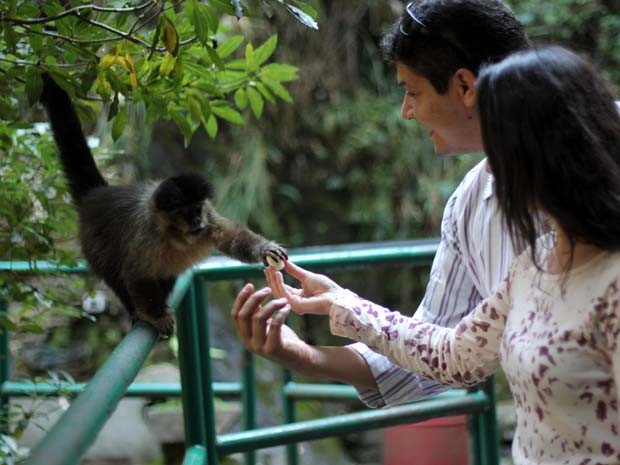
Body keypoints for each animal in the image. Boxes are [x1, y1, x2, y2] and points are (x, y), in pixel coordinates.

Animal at [40, 73, 286, 338]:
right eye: (187, 213)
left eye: (198, 209)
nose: (197, 222)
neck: (174, 234)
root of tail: (97, 195)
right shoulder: (146, 236)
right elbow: (136, 274)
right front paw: (156, 317)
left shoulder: (209, 220)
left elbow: (231, 237)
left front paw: (265, 249)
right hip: (94, 242)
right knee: (116, 273)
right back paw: (137, 311)